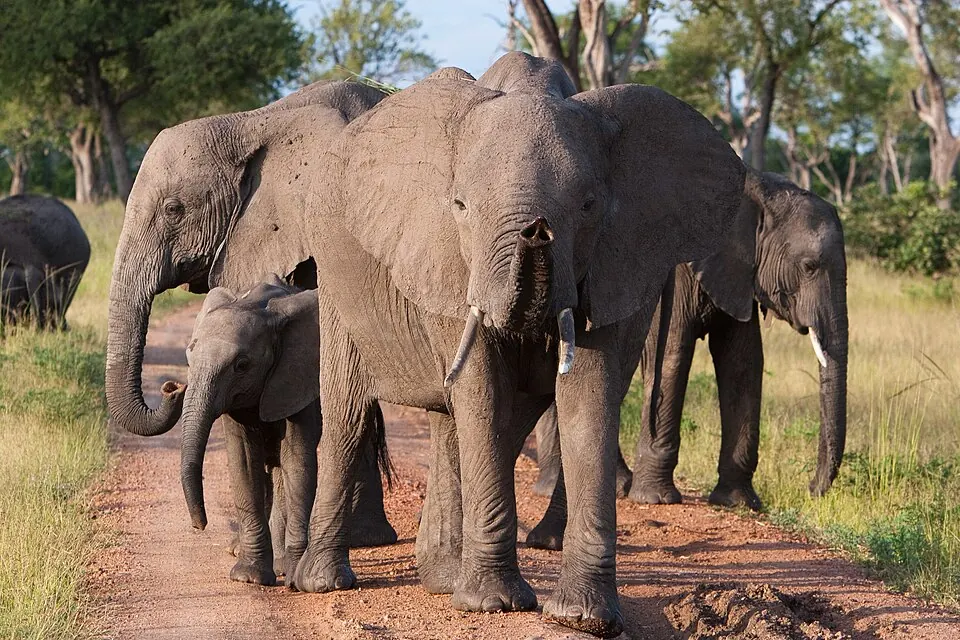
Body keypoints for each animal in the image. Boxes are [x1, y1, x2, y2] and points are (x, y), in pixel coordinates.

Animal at [289, 51, 745, 638]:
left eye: (589, 205)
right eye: (460, 205)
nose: (536, 232)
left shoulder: (617, 260)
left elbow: (586, 398)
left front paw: (584, 618)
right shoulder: (448, 260)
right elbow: (483, 391)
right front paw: (492, 605)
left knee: (468, 424)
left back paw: (443, 577)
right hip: (335, 281)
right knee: (350, 413)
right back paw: (324, 583)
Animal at [528, 168, 848, 550]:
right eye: (809, 266)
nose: (812, 489)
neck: (758, 190)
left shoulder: (737, 273)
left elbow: (743, 362)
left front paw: (738, 502)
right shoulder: (681, 271)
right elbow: (672, 354)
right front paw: (655, 499)